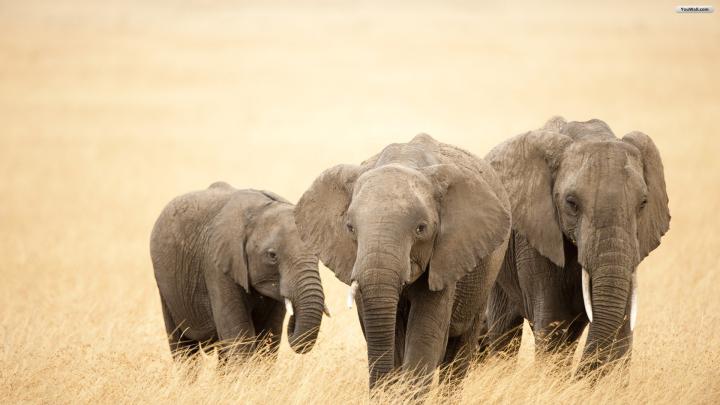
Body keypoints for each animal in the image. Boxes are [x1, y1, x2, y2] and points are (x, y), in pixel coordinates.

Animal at [150, 183, 327, 361]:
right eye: (272, 256)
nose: (293, 320)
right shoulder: (217, 266)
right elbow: (238, 335)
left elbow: (269, 337)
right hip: (166, 289)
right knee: (183, 347)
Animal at [480, 117, 670, 375]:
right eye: (571, 203)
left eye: (643, 203)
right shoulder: (536, 239)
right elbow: (553, 324)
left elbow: (621, 325)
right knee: (504, 329)